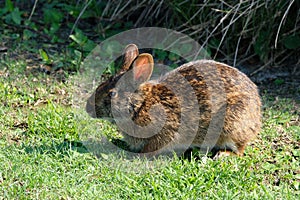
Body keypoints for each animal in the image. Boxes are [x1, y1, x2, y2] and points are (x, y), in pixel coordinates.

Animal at [85, 43, 262, 158]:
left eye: (112, 94)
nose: (88, 108)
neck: (140, 105)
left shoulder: (165, 131)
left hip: (232, 123)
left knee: (239, 149)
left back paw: (223, 155)